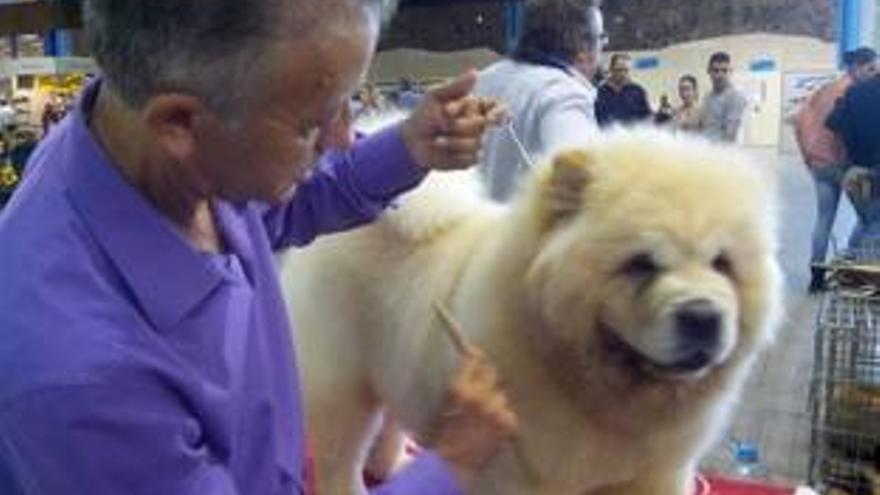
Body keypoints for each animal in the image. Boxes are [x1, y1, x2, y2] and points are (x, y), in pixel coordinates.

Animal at [278, 129, 780, 495]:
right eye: (641, 264)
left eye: (722, 264)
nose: (703, 315)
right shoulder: (521, 475)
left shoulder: (655, 473)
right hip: (343, 387)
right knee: (340, 458)